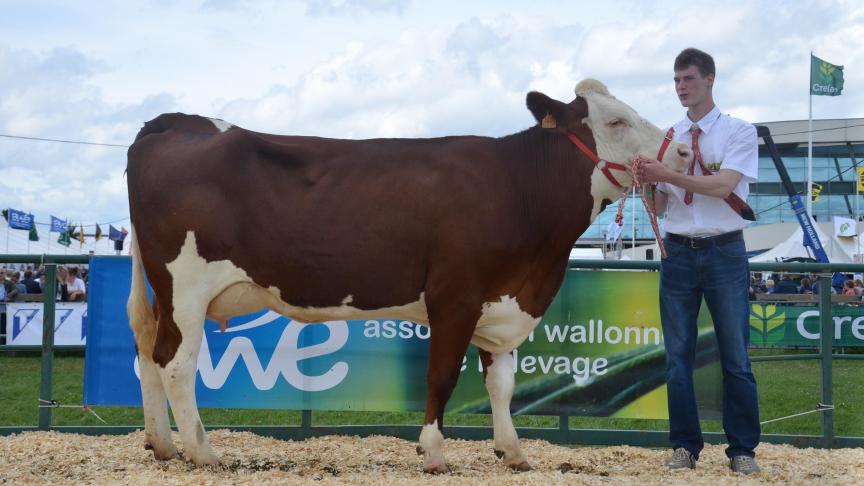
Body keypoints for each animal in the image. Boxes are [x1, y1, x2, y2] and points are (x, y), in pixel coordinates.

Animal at [125, 79, 692, 470]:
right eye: (615, 122)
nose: (686, 151)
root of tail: (175, 122)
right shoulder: (454, 298)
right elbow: (441, 377)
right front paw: (434, 451)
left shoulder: (503, 301)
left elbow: (502, 384)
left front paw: (512, 451)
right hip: (185, 287)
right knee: (177, 363)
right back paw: (203, 451)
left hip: (164, 292)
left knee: (149, 352)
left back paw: (163, 444)